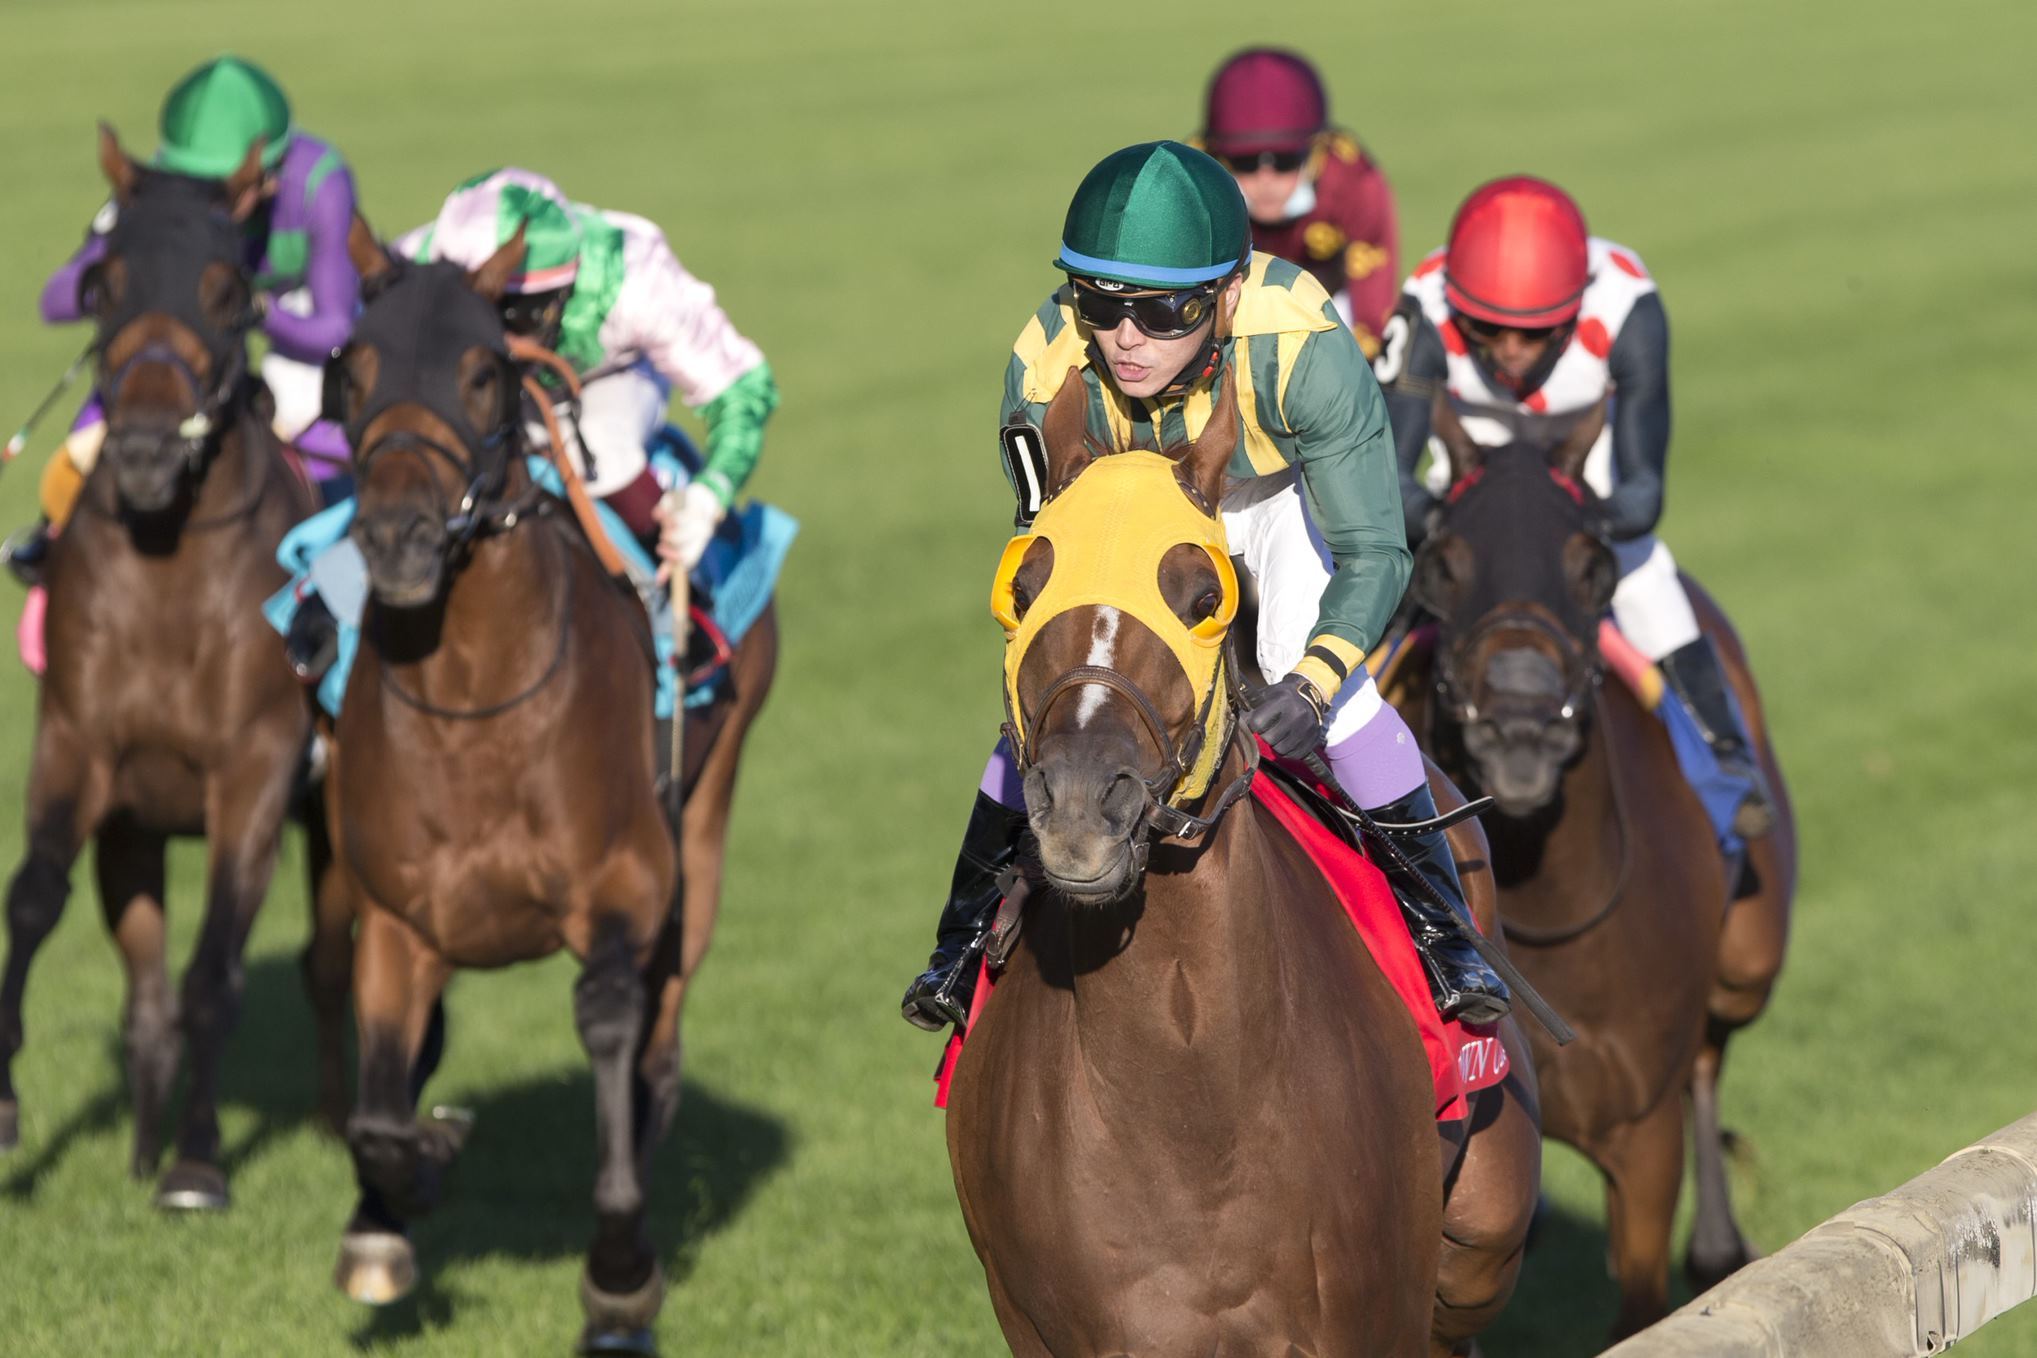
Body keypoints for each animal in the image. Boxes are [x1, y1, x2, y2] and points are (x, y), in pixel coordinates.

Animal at [0, 130, 317, 1213]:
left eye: (226, 289)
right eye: (104, 284)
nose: (139, 449)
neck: (170, 572)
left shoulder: (255, 767)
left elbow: (216, 967)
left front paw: (197, 1160)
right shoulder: (81, 748)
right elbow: (32, 898)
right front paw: (7, 1103)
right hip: (134, 835)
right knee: (142, 989)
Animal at [321, 222, 774, 1351]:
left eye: (483, 371)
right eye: (353, 368)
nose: (397, 534)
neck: (477, 702)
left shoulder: (624, 886)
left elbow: (611, 1021)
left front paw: (618, 1274)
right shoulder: (398, 917)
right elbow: (380, 1109)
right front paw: (399, 1196)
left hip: (705, 827)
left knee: (659, 1049)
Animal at [945, 374, 1531, 1358]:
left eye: (1197, 594)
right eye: (1023, 587)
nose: (1081, 806)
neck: (1191, 1100)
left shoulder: (1374, 1309)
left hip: (1482, 1225)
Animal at [1385, 407, 1800, 1335]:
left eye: (1589, 564)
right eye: (1442, 563)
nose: (1520, 730)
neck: (1546, 903)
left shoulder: (1642, 1136)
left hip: (1748, 961)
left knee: (1712, 1044)